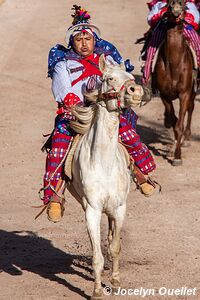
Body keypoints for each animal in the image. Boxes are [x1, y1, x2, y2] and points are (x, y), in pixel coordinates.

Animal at [65, 54, 142, 300]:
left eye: (130, 76)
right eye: (108, 78)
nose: (136, 91)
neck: (103, 163)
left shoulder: (119, 208)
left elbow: (115, 247)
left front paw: (115, 282)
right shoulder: (92, 209)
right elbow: (97, 255)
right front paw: (97, 290)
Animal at [152, 0, 197, 165]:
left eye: (183, 3)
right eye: (168, 3)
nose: (175, 6)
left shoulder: (185, 93)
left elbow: (179, 125)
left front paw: (177, 157)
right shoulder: (164, 93)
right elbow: (173, 119)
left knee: (191, 107)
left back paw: (187, 138)